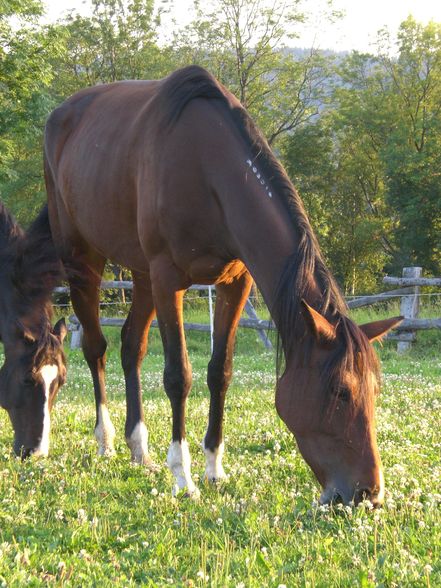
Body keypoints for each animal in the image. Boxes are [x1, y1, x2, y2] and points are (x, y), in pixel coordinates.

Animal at [43, 64, 398, 506]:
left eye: (375, 391)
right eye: (339, 391)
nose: (369, 493)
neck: (206, 169)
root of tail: (61, 115)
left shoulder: (235, 282)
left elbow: (220, 371)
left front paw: (214, 468)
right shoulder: (168, 279)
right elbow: (178, 375)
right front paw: (183, 476)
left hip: (141, 275)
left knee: (131, 346)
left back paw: (139, 449)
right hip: (84, 259)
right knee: (96, 348)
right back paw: (106, 440)